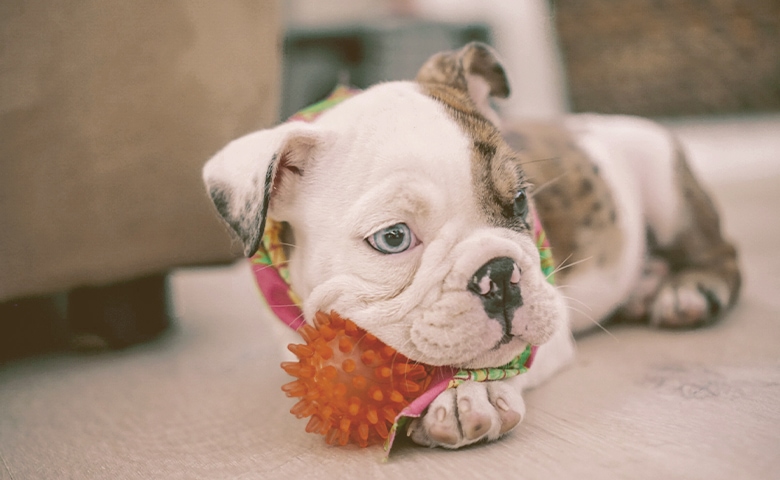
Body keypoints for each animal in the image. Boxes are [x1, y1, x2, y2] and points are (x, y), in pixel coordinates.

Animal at [201, 42, 736, 450]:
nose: (499, 274)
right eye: (393, 239)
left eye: (520, 201)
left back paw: (686, 290)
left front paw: (465, 397)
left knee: (721, 253)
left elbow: (501, 360)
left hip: (663, 179)